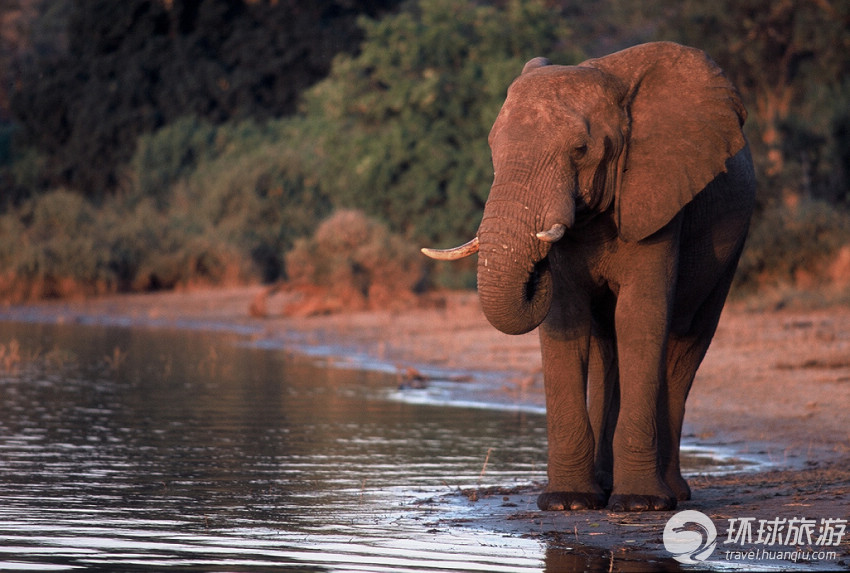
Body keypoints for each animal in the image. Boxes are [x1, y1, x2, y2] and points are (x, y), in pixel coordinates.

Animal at [420, 42, 752, 512]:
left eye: (580, 149)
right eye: (492, 146)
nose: (536, 267)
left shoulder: (658, 197)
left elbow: (641, 317)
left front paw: (639, 505)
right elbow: (566, 319)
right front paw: (569, 502)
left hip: (730, 248)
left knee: (686, 345)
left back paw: (672, 494)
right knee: (604, 348)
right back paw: (605, 486)